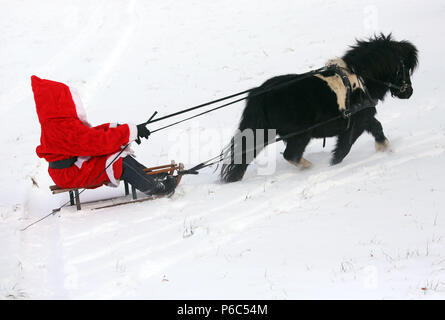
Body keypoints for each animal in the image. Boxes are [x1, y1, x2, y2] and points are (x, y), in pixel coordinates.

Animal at [220, 34, 418, 182]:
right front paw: (333, 165)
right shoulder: (356, 123)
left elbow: (377, 128)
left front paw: (386, 150)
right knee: (291, 155)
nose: (409, 91)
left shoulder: (365, 117)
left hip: (265, 131)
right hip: (300, 134)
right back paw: (310, 168)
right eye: (405, 68)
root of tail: (262, 93)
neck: (361, 79)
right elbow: (344, 148)